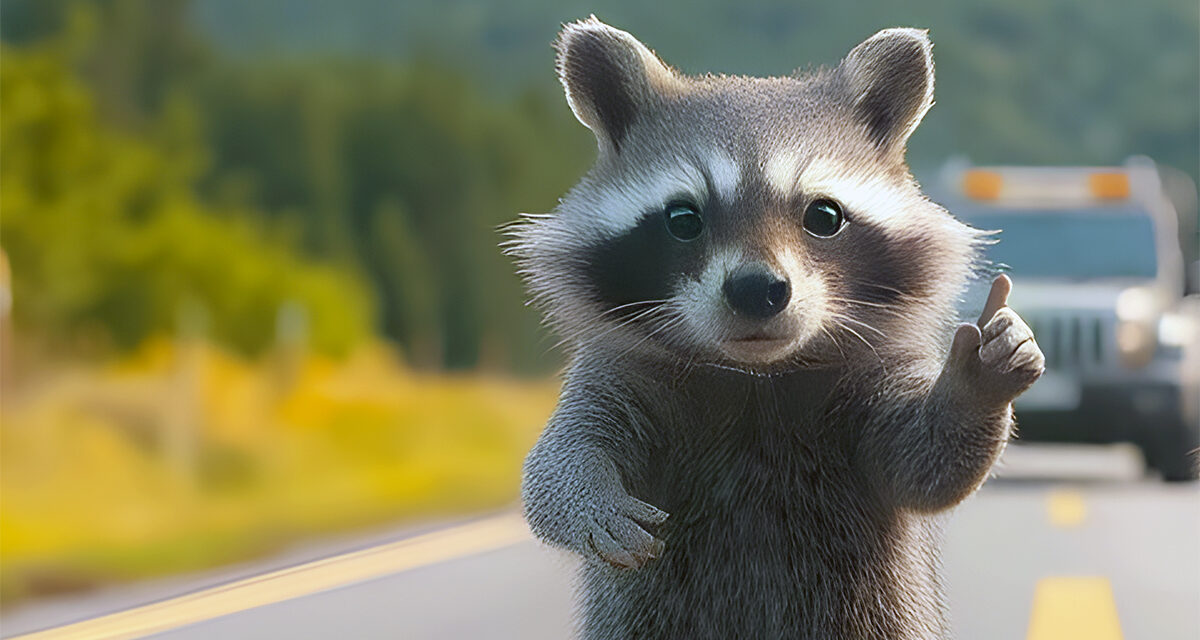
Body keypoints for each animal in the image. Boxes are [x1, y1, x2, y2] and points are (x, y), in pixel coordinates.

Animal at [507, 17, 1044, 640]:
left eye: (824, 216)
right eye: (683, 218)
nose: (756, 290)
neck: (756, 376)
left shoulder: (872, 379)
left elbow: (925, 462)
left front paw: (974, 383)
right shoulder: (617, 371)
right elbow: (559, 458)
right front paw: (587, 497)